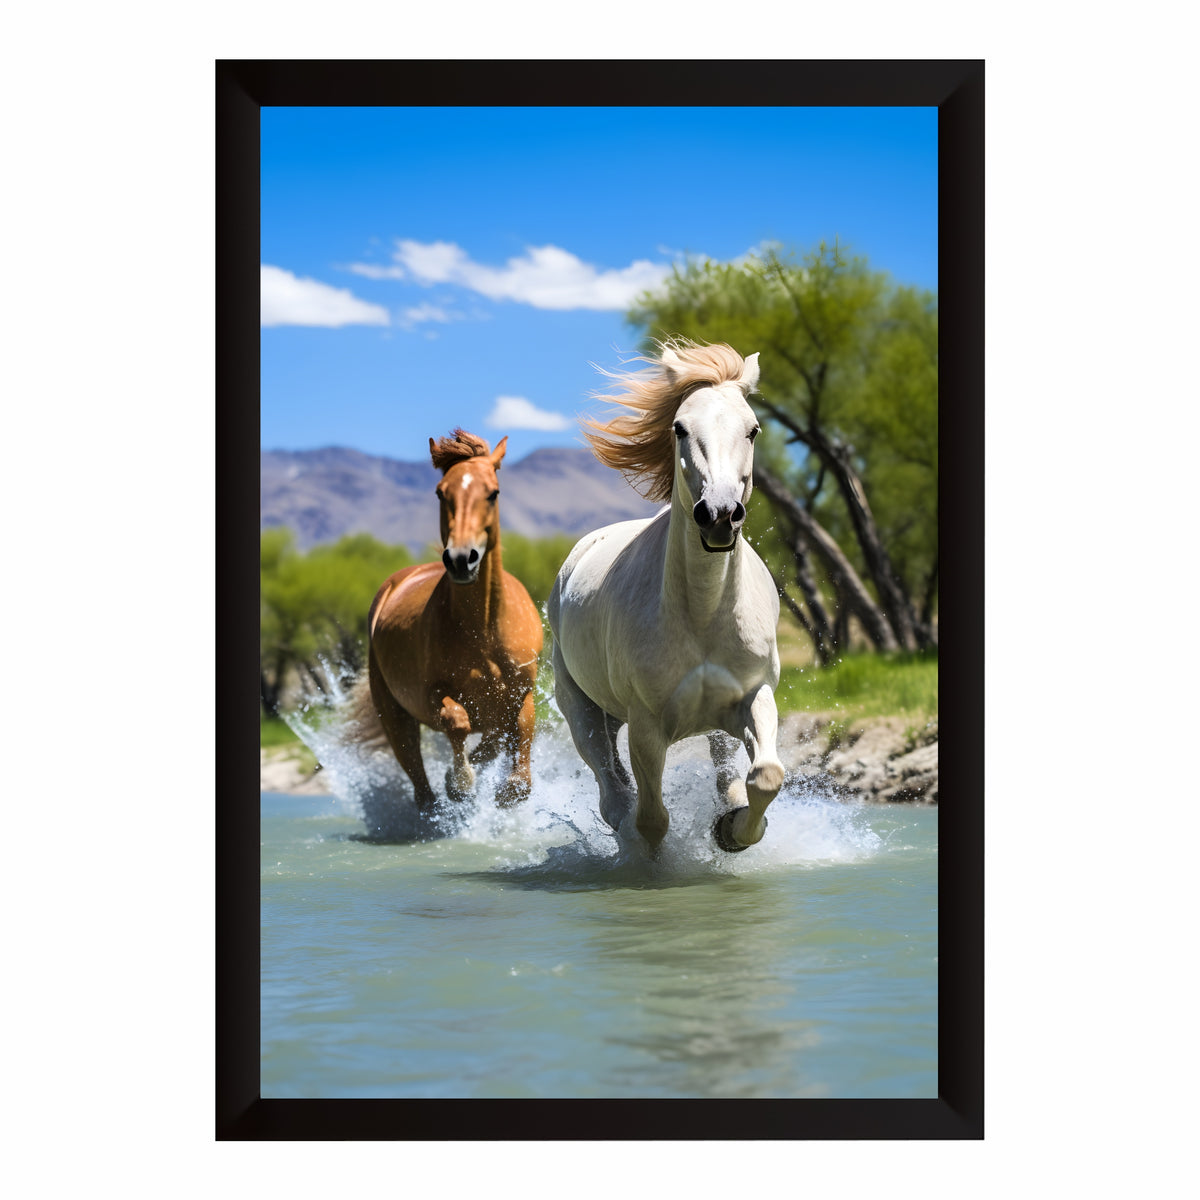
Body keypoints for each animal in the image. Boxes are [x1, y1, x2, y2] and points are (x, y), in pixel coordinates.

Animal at [360, 429, 544, 809]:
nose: (461, 559)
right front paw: (460, 782)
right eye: (441, 492)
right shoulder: (433, 693)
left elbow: (518, 775)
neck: (483, 630)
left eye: (493, 492)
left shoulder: (522, 695)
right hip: (395, 716)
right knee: (420, 783)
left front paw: (498, 786)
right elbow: (455, 720)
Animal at [546, 339, 784, 854]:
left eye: (753, 429)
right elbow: (653, 819)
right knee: (613, 794)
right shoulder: (646, 726)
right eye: (680, 427)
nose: (720, 514)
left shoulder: (755, 695)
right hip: (581, 710)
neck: (703, 613)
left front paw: (731, 831)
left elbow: (765, 776)